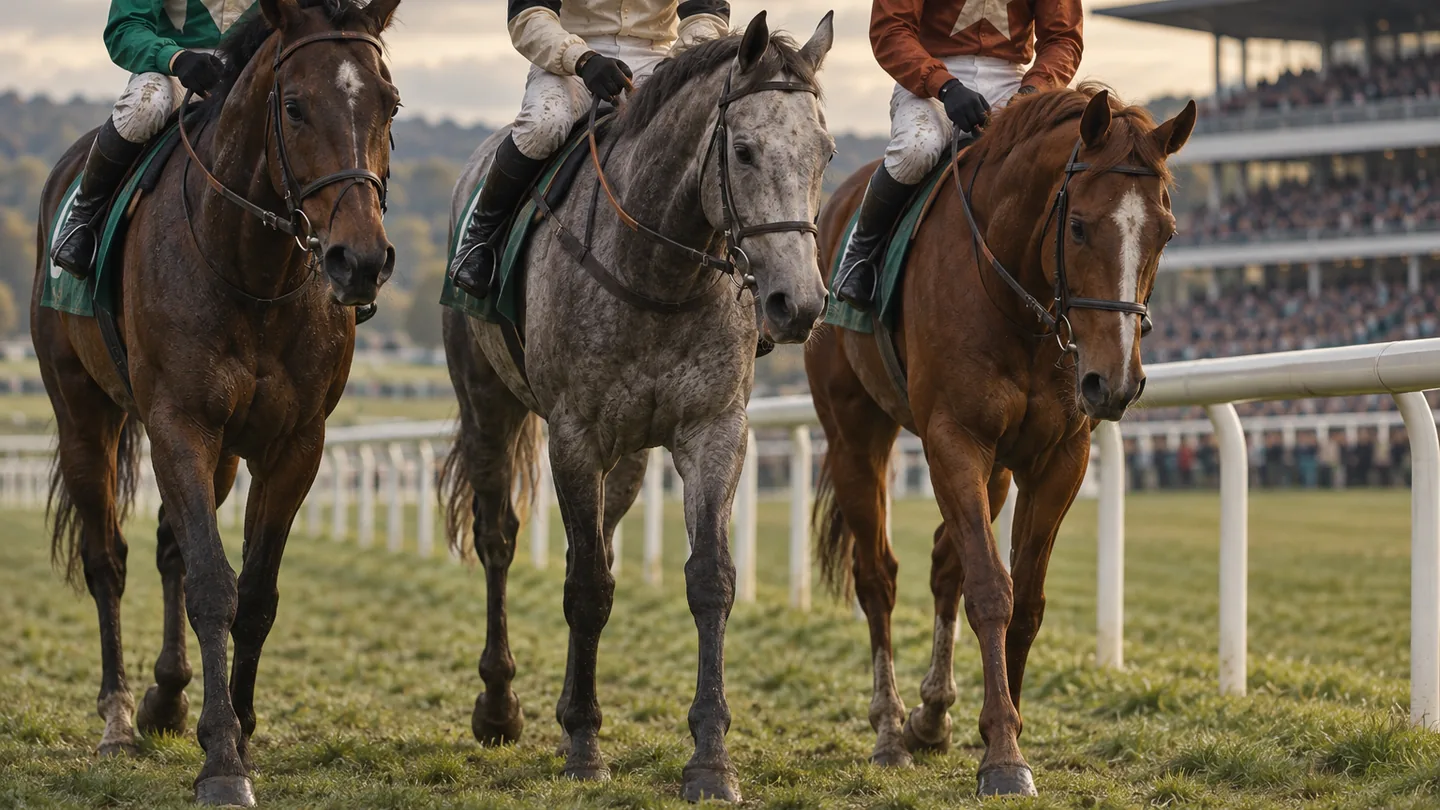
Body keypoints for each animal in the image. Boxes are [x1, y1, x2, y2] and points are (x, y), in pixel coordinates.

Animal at [30, 0, 401, 804]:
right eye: (294, 107)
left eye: (389, 104)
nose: (359, 260)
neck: (253, 272)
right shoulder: (179, 423)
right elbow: (211, 583)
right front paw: (224, 762)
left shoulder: (294, 444)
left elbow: (254, 594)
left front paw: (240, 728)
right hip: (83, 412)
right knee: (107, 558)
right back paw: (119, 720)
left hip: (225, 453)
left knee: (168, 543)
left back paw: (167, 698)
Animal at [439, 12, 834, 803]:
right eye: (743, 150)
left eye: (826, 154)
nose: (798, 304)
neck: (663, 272)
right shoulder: (574, 435)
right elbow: (588, 587)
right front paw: (586, 746)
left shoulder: (714, 430)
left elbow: (708, 579)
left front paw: (710, 758)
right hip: (488, 403)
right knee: (500, 539)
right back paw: (500, 705)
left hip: (627, 455)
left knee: (600, 542)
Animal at [807, 85, 1196, 797]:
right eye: (1079, 226)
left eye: (1166, 232)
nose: (1114, 383)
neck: (1019, 305)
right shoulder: (953, 439)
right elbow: (992, 590)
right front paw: (1004, 755)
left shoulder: (1058, 458)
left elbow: (1026, 600)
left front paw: (1003, 727)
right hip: (855, 436)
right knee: (876, 574)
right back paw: (889, 729)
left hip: (997, 472)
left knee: (943, 562)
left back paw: (931, 715)